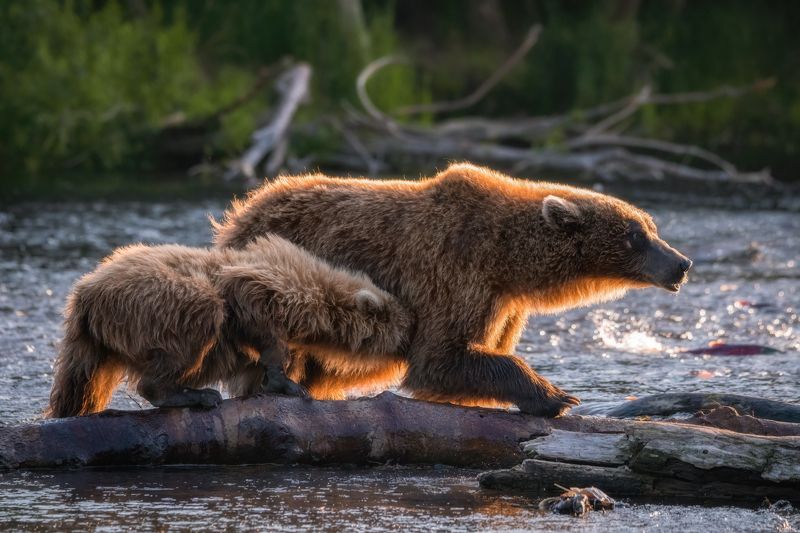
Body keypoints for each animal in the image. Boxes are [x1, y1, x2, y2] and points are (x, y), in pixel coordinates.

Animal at [47, 234, 412, 418]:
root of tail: (87, 289)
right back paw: (195, 395)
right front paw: (287, 383)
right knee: (199, 317)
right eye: (407, 326)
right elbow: (253, 313)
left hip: (94, 339)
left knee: (80, 382)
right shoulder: (266, 286)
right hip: (153, 302)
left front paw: (268, 382)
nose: (412, 338)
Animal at [212, 163, 692, 417]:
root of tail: (241, 213)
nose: (681, 264)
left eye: (650, 226)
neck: (509, 262)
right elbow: (440, 359)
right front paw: (555, 395)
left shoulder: (505, 305)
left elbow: (480, 350)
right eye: (635, 235)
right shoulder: (455, 271)